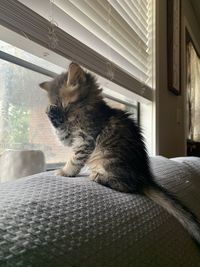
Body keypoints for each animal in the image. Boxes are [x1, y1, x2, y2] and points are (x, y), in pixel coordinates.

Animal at [39, 62, 200, 247]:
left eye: (66, 106)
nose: (62, 116)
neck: (87, 109)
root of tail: (144, 177)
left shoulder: (85, 139)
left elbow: (74, 159)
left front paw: (65, 172)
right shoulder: (70, 138)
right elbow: (61, 134)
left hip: (108, 158)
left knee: (129, 186)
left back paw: (99, 177)